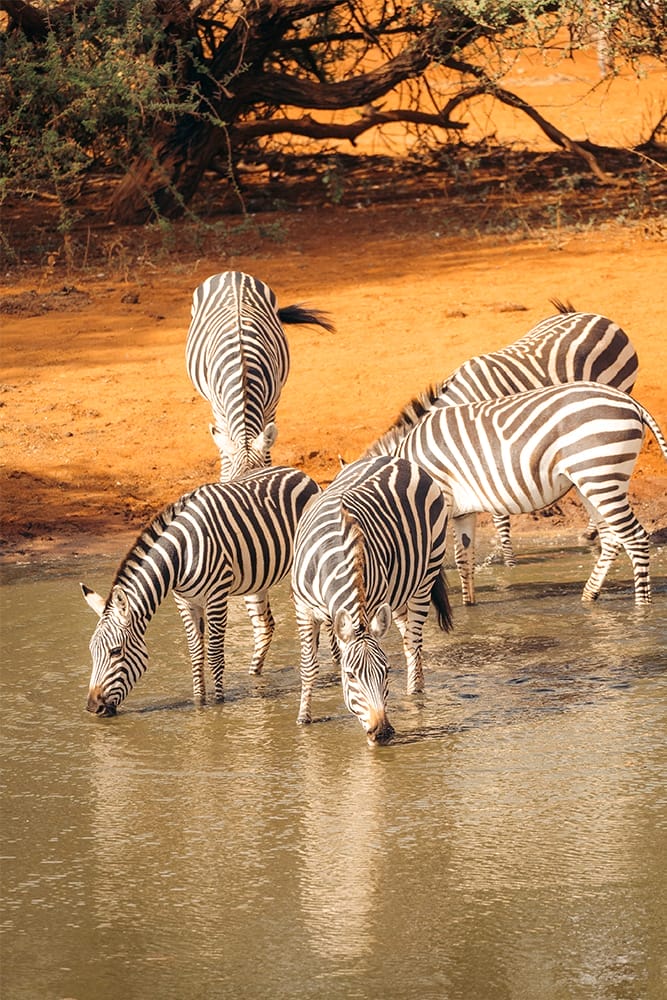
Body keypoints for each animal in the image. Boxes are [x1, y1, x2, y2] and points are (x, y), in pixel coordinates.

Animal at [81, 464, 320, 716]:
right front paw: (199, 702)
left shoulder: (217, 595)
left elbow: (214, 654)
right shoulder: (185, 601)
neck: (179, 556)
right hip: (257, 581)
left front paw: (218, 705)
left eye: (115, 651)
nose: (92, 707)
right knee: (264, 626)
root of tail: (298, 472)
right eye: (92, 650)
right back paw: (254, 676)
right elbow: (196, 653)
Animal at [292, 454, 454, 744]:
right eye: (349, 675)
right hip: (399, 592)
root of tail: (395, 458)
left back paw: (415, 695)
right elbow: (309, 666)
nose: (383, 732)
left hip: (426, 576)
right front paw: (304, 719)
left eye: (387, 671)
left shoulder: (373, 604)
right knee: (407, 637)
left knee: (413, 643)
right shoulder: (303, 609)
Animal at [366, 380, 667, 604]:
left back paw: (642, 611)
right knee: (612, 538)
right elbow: (464, 561)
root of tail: (629, 401)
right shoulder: (462, 512)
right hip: (592, 482)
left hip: (600, 475)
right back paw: (589, 596)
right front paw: (469, 606)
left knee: (635, 539)